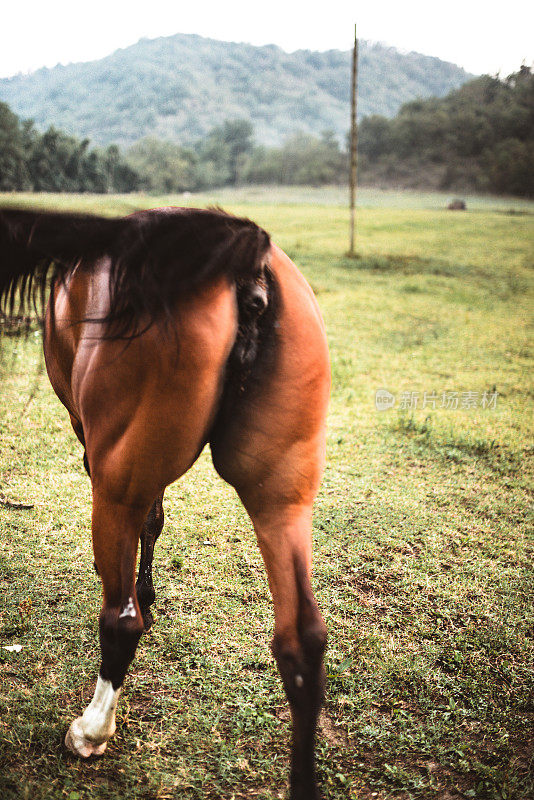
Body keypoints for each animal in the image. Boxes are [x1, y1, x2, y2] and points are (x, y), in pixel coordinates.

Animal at [0, 208, 330, 800]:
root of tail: (246, 260)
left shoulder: (96, 449)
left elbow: (143, 530)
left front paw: (143, 594)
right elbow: (155, 519)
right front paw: (151, 591)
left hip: (113, 485)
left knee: (119, 621)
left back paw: (92, 730)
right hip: (282, 499)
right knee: (302, 643)